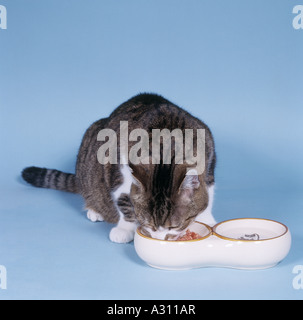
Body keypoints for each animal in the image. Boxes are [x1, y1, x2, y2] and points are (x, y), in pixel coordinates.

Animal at [22, 94, 217, 244]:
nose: (159, 238)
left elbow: (208, 192)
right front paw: (125, 229)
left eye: (174, 226)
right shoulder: (116, 165)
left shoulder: (209, 157)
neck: (167, 146)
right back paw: (94, 210)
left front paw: (206, 219)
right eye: (148, 224)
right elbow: (124, 199)